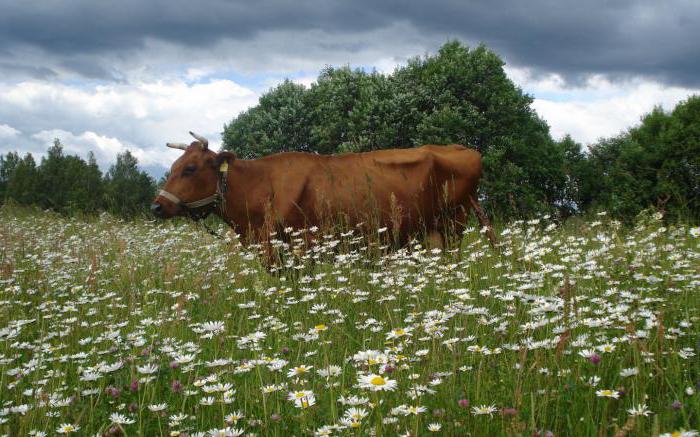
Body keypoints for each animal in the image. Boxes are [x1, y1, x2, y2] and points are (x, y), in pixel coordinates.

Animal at [150, 131, 494, 262]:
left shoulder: (301, 244)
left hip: (452, 225)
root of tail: (461, 148)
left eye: (190, 168)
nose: (157, 205)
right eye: (174, 166)